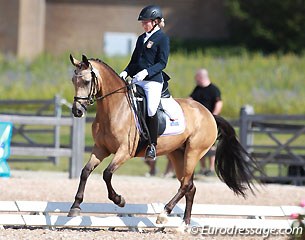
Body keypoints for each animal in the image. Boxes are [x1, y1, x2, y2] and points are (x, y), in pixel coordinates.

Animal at [66, 54, 256, 227]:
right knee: (190, 186)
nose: (77, 111)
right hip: (178, 155)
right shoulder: (100, 149)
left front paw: (119, 200)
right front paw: (75, 206)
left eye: (86, 82)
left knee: (185, 185)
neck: (115, 108)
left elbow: (107, 174)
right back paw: (184, 225)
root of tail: (209, 114)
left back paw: (164, 214)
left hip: (194, 152)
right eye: (73, 81)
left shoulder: (124, 152)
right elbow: (85, 171)